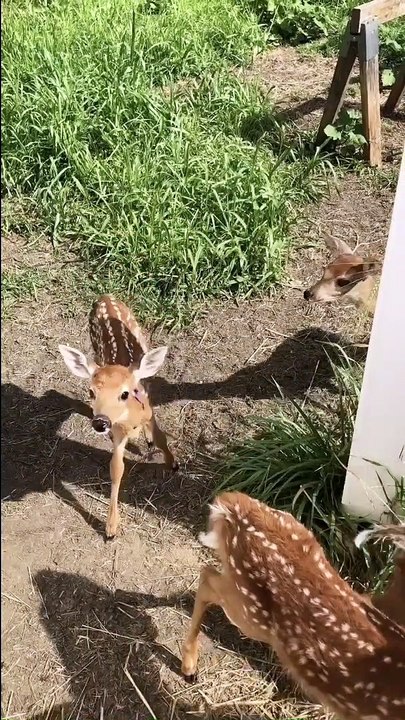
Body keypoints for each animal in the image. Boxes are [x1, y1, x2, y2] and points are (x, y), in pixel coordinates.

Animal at [58, 295, 178, 539]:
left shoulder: (148, 411)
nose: (100, 422)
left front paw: (171, 463)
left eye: (124, 393)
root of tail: (105, 297)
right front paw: (111, 527)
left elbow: (161, 437)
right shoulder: (117, 431)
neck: (129, 420)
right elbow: (116, 468)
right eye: (91, 392)